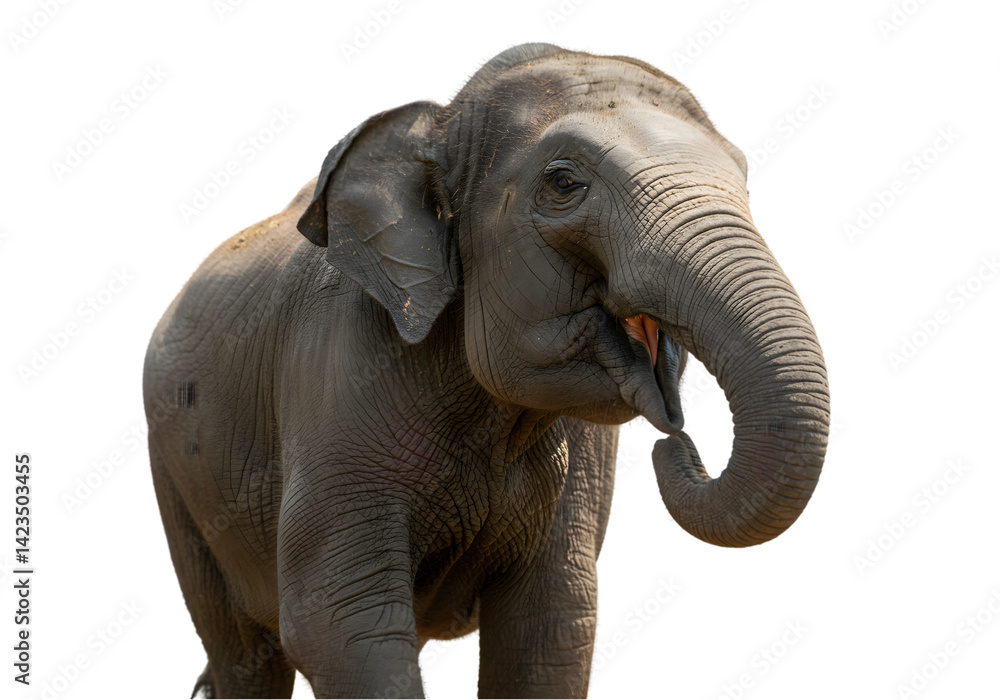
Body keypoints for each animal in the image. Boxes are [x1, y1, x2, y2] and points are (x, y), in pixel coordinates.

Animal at [144, 43, 830, 698]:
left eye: (745, 181)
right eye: (563, 182)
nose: (679, 444)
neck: (438, 124)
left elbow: (550, 629)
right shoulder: (338, 371)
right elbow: (338, 625)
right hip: (178, 481)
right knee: (244, 653)